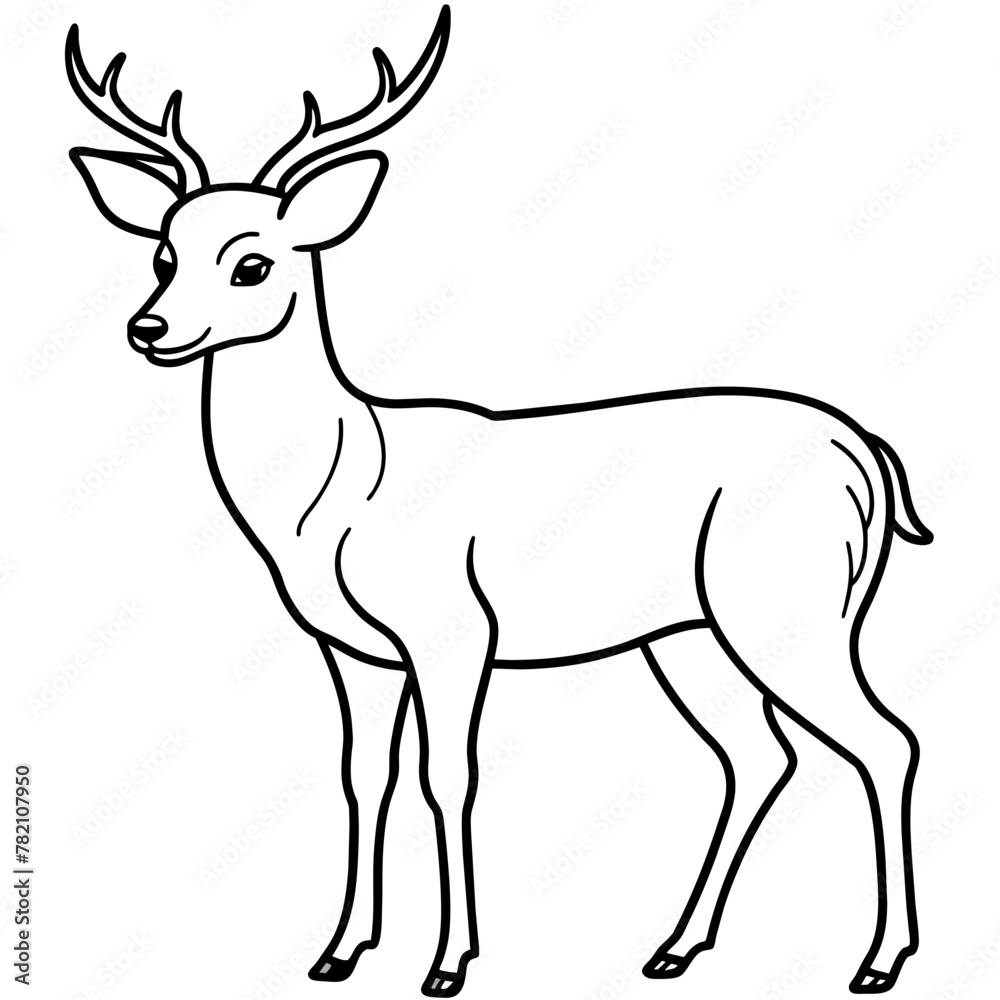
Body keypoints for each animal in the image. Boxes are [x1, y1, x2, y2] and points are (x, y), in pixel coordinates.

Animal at [67, 7, 932, 996]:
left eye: (253, 264)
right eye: (164, 252)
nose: (149, 328)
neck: (344, 487)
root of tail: (868, 455)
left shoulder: (453, 628)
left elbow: (450, 777)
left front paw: (448, 964)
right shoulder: (351, 648)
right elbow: (363, 776)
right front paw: (338, 951)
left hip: (791, 604)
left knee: (885, 740)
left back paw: (879, 960)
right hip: (688, 633)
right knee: (760, 756)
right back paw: (674, 947)